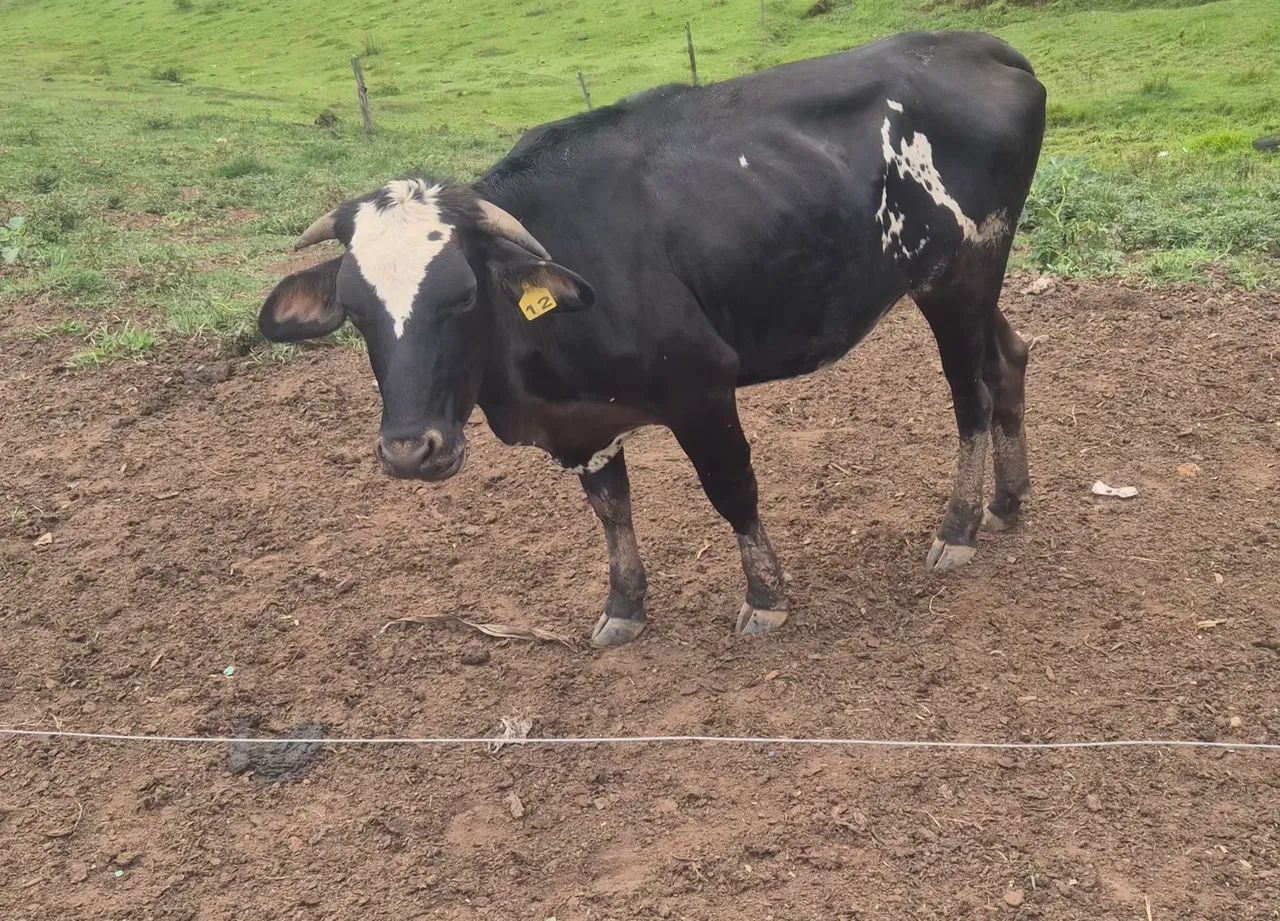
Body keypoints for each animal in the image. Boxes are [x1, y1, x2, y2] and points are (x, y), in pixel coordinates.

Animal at [258, 31, 1046, 647]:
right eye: (356, 310)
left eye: (462, 295)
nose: (408, 450)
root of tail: (985, 47)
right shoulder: (583, 421)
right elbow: (610, 507)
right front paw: (624, 606)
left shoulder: (700, 383)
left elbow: (731, 486)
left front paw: (765, 597)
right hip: (972, 280)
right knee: (1008, 359)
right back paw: (1008, 501)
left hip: (956, 276)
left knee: (970, 395)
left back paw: (959, 526)